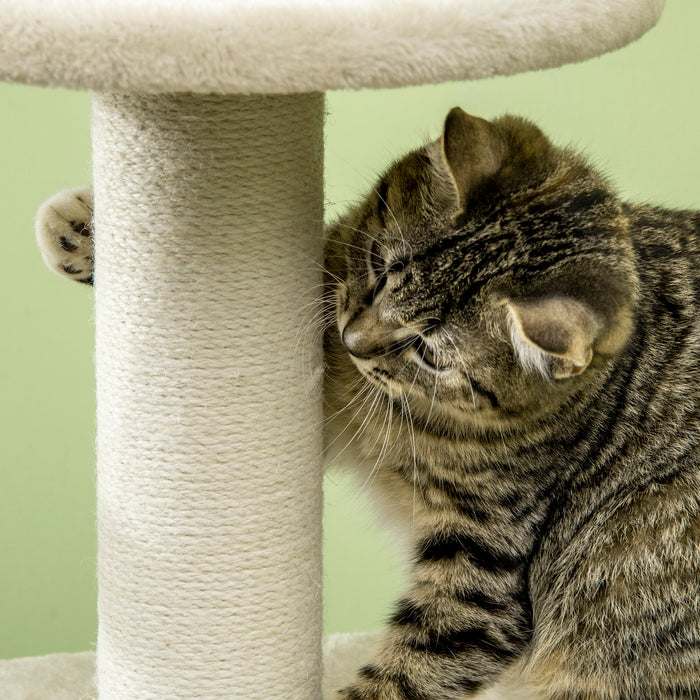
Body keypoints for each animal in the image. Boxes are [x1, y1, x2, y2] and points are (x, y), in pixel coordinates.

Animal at [37, 106, 700, 696]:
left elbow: (414, 665)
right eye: (381, 268)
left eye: (430, 352)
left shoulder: (484, 564)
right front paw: (84, 230)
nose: (356, 340)